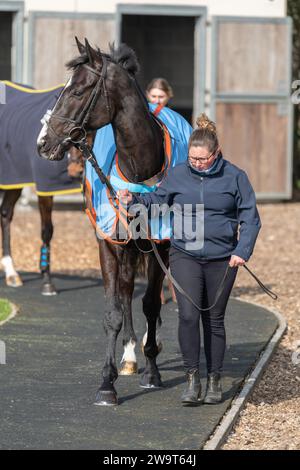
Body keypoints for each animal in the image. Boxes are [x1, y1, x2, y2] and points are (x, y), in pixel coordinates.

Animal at [37, 37, 192, 404]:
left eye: (78, 91)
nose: (44, 143)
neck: (138, 168)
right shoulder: (108, 242)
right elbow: (113, 310)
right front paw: (107, 383)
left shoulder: (160, 244)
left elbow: (151, 303)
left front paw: (153, 372)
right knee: (124, 290)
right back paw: (130, 354)